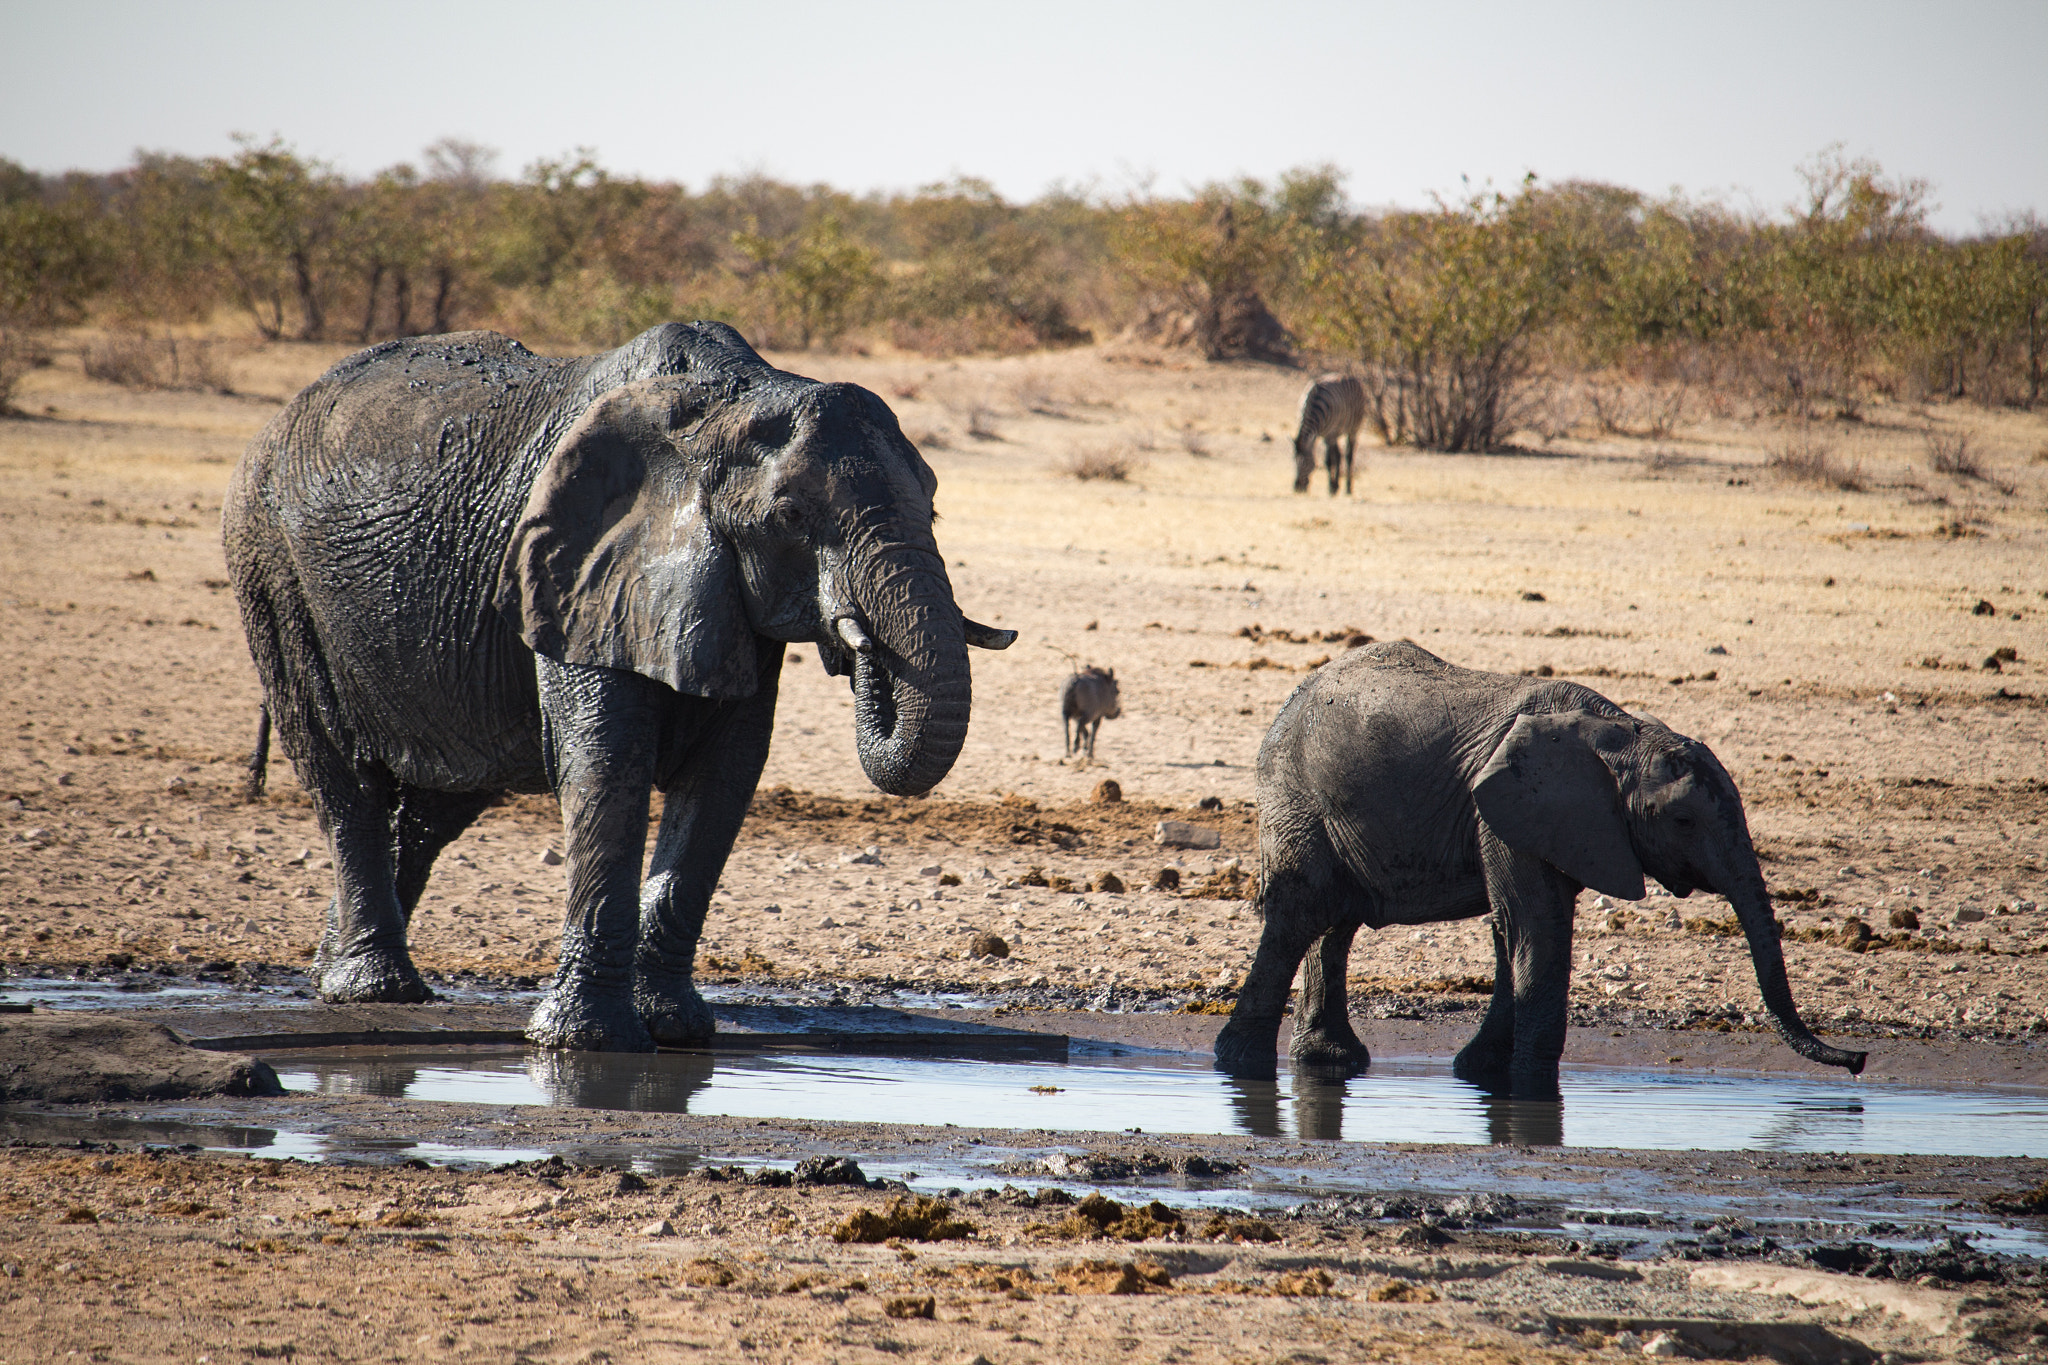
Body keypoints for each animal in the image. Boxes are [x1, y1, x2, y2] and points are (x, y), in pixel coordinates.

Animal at [224, 322, 1015, 1051]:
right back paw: (377, 989)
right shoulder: (575, 572)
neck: (723, 406)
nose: (859, 645)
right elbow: (607, 767)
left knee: (433, 806)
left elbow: (724, 779)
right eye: (791, 515)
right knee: (343, 777)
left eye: (933, 506)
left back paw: (338, 972)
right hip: (271, 570)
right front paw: (585, 1042)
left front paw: (675, 1028)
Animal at [1213, 640, 1865, 1098]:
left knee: (1334, 922)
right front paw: (1528, 1089)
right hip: (1298, 795)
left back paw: (1328, 1062)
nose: (1857, 1061)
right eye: (1681, 820)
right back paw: (1239, 1063)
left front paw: (1481, 1073)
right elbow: (1536, 930)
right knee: (1302, 910)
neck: (1619, 732)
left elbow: (1514, 931)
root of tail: (1293, 698)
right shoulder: (1509, 811)